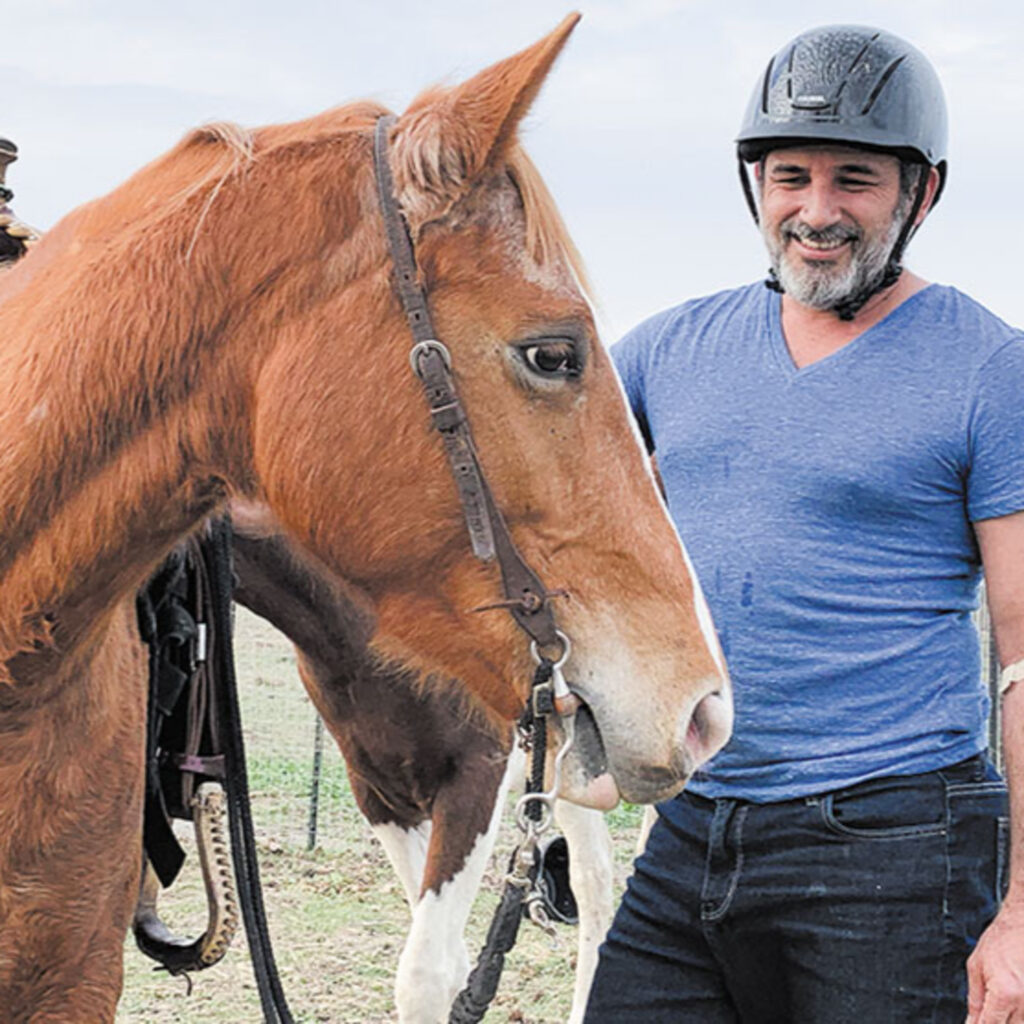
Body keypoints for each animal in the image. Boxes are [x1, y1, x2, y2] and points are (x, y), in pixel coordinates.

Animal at [0, 18, 729, 1024]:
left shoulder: (476, 779)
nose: (704, 709)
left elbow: (431, 969)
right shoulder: (384, 792)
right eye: (554, 353)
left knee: (593, 879)